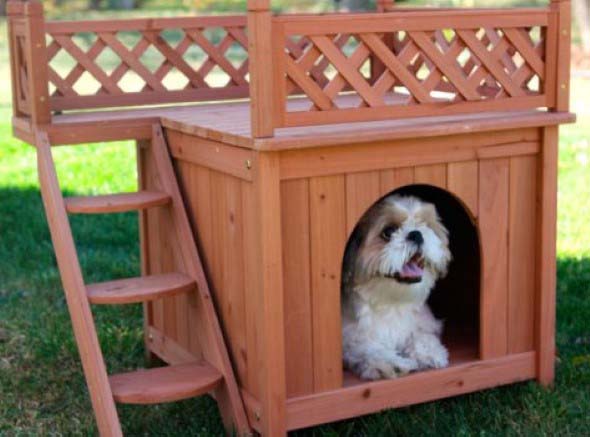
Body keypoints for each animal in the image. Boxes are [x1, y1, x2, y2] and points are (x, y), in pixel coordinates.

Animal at [341, 194, 452, 380]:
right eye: (389, 232)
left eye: (424, 225)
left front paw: (430, 352)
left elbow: (421, 336)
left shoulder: (422, 323)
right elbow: (370, 349)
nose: (416, 234)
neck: (391, 303)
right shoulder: (352, 338)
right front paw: (395, 363)